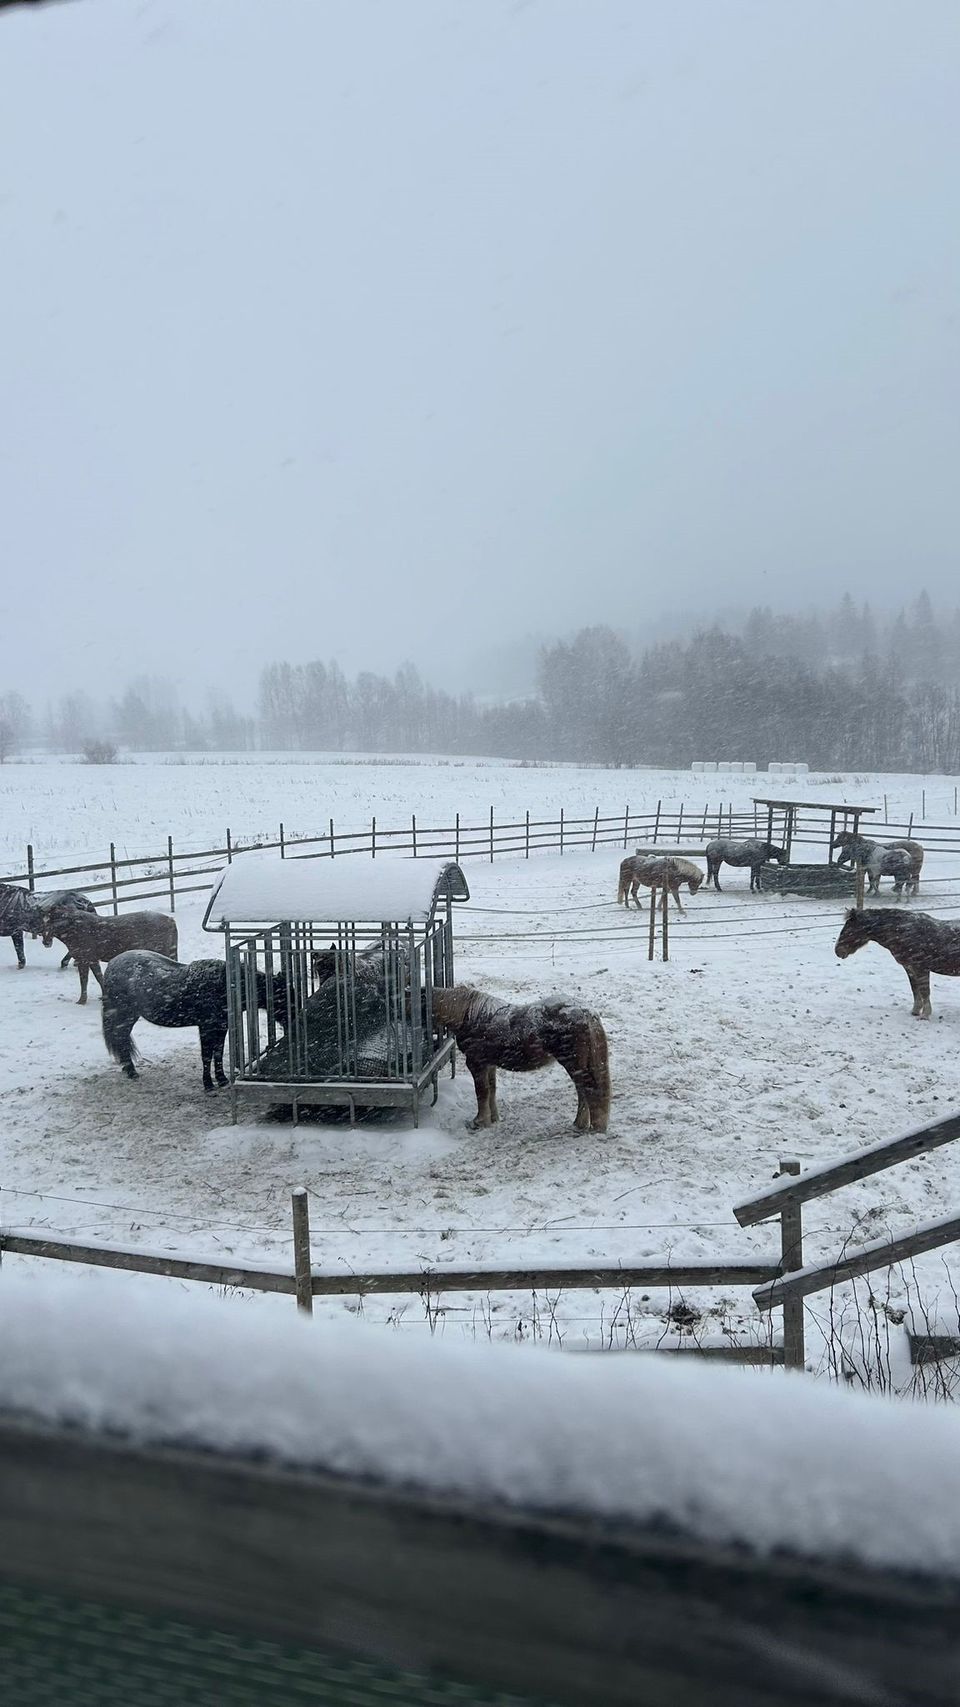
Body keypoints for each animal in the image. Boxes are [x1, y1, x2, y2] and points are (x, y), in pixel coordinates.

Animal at [40, 908, 177, 996]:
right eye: (43, 922)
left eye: (52, 922)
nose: (46, 942)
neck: (74, 929)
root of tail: (170, 919)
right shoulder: (92, 960)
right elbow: (99, 977)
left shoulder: (84, 959)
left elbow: (84, 980)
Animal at [103, 949, 286, 1092]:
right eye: (283, 997)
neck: (224, 985)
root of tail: (112, 964)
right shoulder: (206, 1027)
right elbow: (206, 1055)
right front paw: (208, 1085)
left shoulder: (221, 1027)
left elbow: (218, 1053)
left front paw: (222, 1079)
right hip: (125, 1015)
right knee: (121, 1039)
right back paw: (131, 1071)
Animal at [427, 990, 604, 1133]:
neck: (468, 1015)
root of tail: (585, 1012)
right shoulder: (489, 1064)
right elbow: (491, 1090)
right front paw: (494, 1119)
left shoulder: (477, 1064)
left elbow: (481, 1092)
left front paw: (479, 1122)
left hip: (574, 1065)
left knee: (585, 1089)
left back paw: (582, 1125)